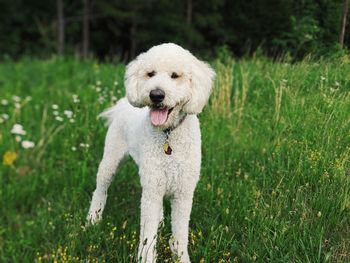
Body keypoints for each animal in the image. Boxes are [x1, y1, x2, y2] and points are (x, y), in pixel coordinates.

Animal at [86, 43, 215, 263]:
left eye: (175, 75)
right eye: (150, 73)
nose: (156, 95)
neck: (168, 134)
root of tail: (123, 103)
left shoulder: (183, 192)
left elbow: (180, 234)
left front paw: (180, 256)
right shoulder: (152, 190)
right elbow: (147, 237)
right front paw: (146, 258)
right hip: (111, 159)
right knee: (100, 189)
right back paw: (93, 219)